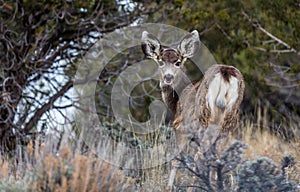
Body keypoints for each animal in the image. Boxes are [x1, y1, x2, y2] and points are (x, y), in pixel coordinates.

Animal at [142, 29, 245, 190]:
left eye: (178, 62)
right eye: (160, 61)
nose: (168, 77)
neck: (176, 101)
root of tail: (225, 73)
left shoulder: (181, 127)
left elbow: (176, 159)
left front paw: (169, 187)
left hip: (203, 118)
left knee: (199, 157)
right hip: (228, 122)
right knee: (217, 157)